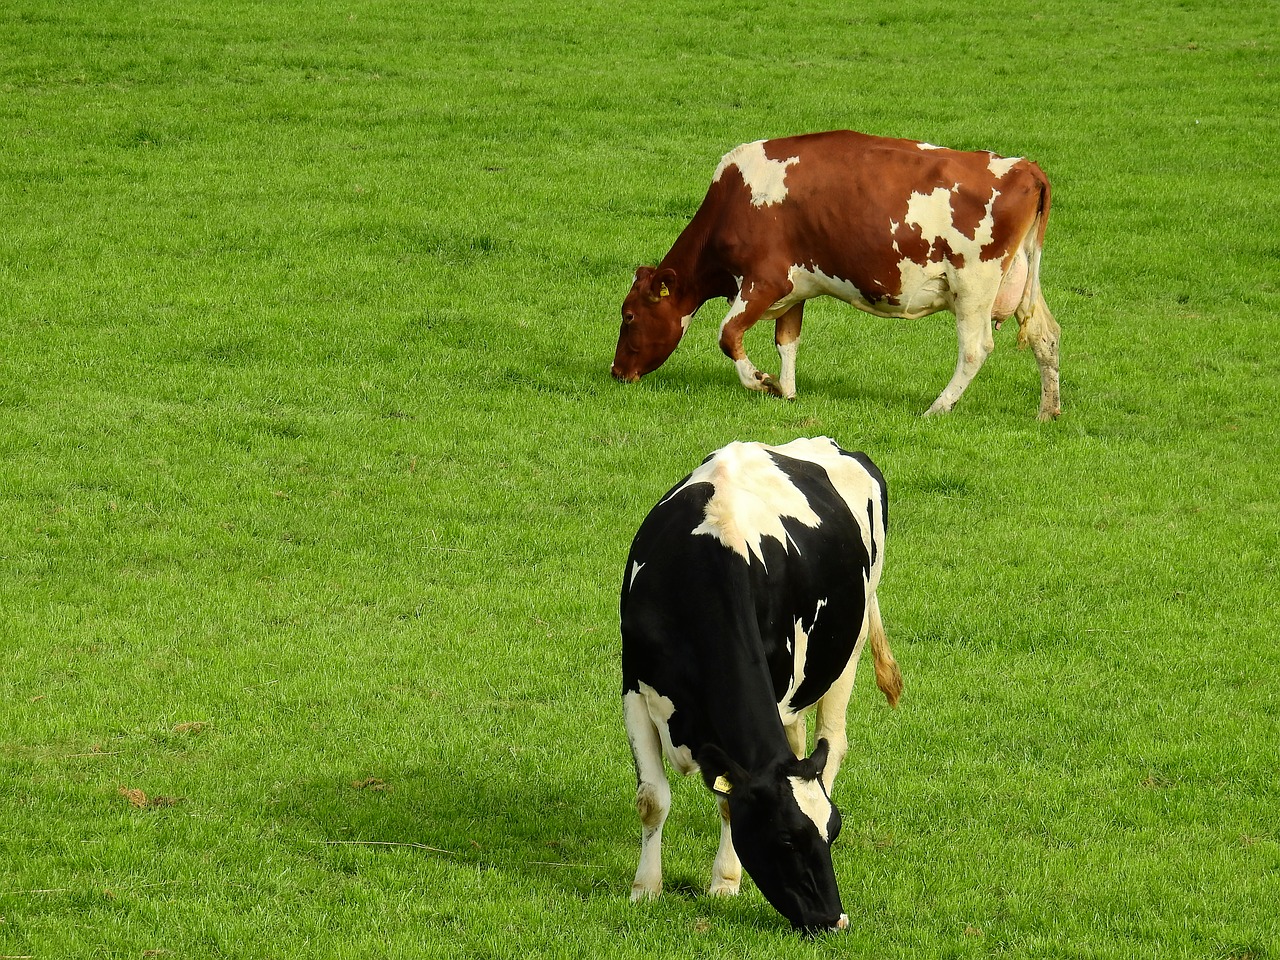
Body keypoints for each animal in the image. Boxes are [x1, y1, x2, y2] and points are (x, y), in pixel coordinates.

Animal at [609, 129, 1059, 419]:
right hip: (1020, 281)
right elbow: (787, 341)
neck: (734, 199)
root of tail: (1025, 166)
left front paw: (762, 381)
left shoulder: (764, 280)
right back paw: (1047, 411)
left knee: (975, 349)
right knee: (1046, 335)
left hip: (973, 286)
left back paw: (937, 408)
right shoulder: (795, 287)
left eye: (629, 316)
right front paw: (787, 392)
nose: (616, 372)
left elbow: (728, 334)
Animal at [619, 440, 901, 936]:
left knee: (833, 743)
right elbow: (653, 799)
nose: (834, 919)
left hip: (849, 647)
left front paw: (725, 882)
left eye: (833, 831)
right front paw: (645, 890)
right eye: (786, 839)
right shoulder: (633, 687)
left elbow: (729, 804)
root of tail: (829, 445)